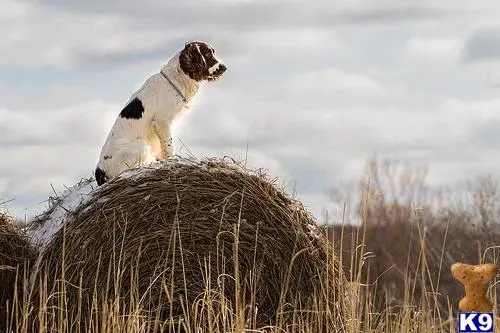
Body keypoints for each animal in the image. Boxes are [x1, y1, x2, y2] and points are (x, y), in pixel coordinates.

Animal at [94, 40, 227, 185]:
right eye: (207, 54)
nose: (224, 67)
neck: (175, 79)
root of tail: (99, 172)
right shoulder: (162, 122)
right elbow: (169, 145)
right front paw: (171, 160)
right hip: (141, 145)